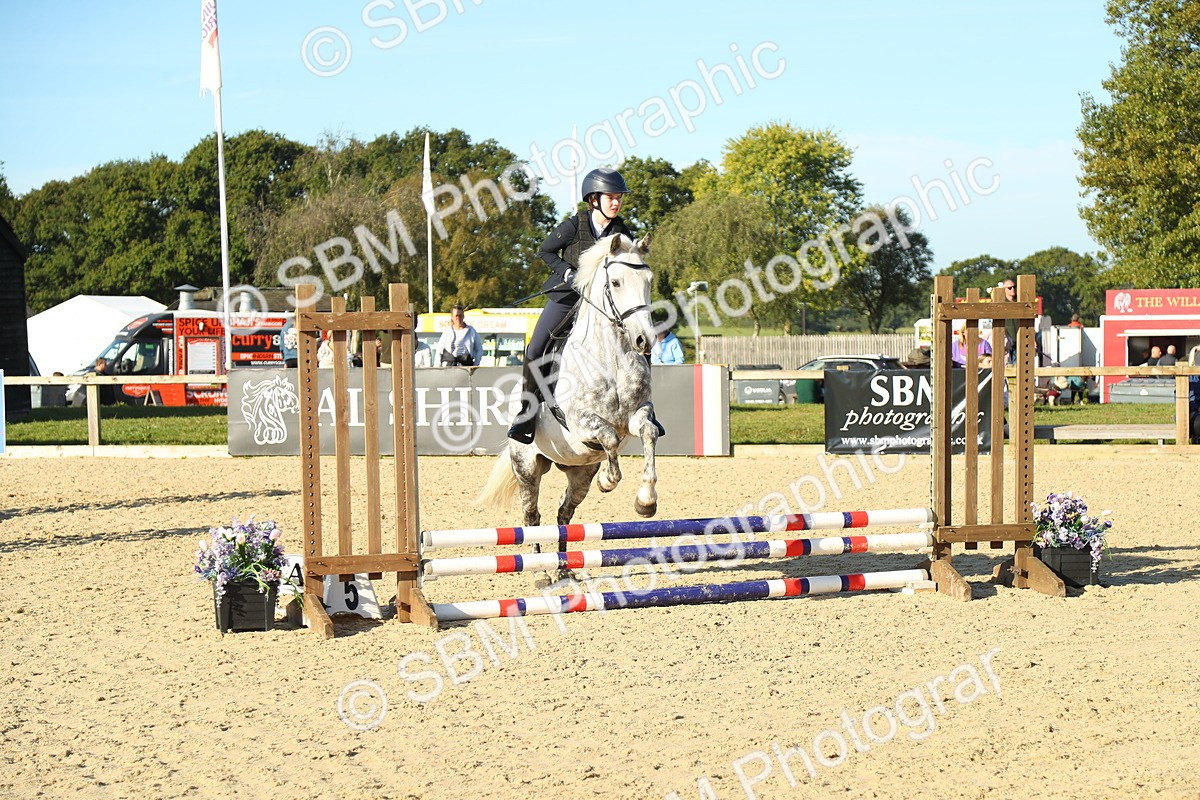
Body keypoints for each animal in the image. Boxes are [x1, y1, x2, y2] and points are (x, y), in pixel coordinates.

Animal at [476, 233, 660, 580]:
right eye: (616, 282)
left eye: (649, 282)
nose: (645, 340)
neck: (610, 358)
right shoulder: (579, 421)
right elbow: (608, 437)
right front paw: (609, 481)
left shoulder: (637, 415)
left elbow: (648, 434)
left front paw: (646, 502)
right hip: (527, 466)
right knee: (532, 516)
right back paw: (540, 571)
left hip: (579, 472)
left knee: (563, 514)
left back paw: (563, 569)